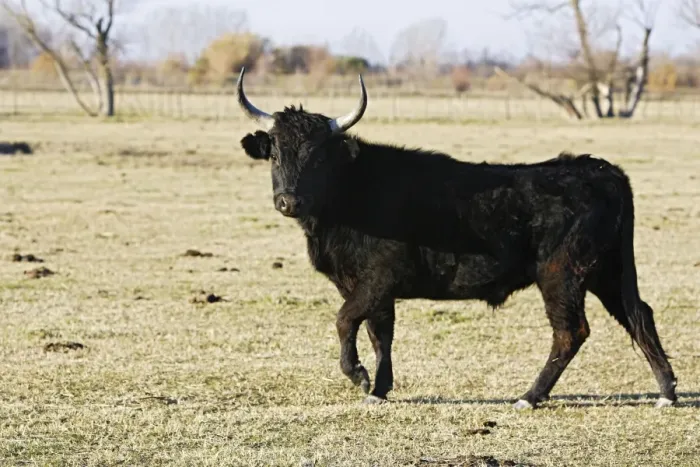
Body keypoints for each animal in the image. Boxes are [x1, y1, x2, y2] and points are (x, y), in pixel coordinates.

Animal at [235, 67, 678, 409]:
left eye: (318, 157)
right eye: (276, 154)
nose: (288, 201)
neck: (352, 189)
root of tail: (600, 169)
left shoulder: (377, 279)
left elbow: (346, 320)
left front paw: (359, 376)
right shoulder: (369, 287)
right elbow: (380, 333)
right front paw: (379, 389)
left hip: (562, 275)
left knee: (571, 332)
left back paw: (529, 396)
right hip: (607, 272)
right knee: (639, 315)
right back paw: (667, 391)